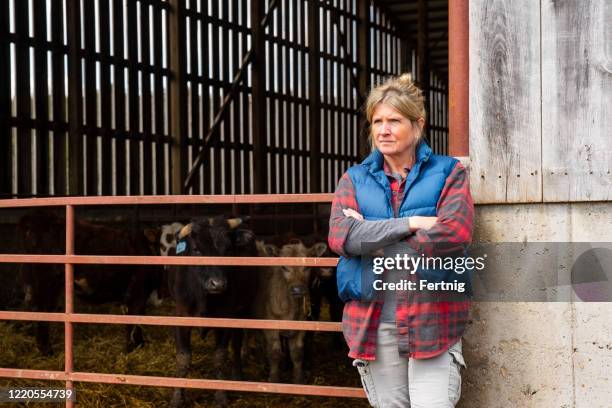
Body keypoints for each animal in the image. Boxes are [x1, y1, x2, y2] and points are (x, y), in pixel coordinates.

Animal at [17, 210, 163, 354]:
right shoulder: (138, 293)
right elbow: (135, 320)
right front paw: (133, 348)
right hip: (47, 283)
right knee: (42, 310)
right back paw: (46, 351)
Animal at [255, 239, 330, 382]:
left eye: (307, 267)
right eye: (284, 267)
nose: (297, 289)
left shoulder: (301, 326)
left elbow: (297, 353)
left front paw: (298, 379)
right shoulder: (270, 326)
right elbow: (274, 353)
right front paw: (274, 379)